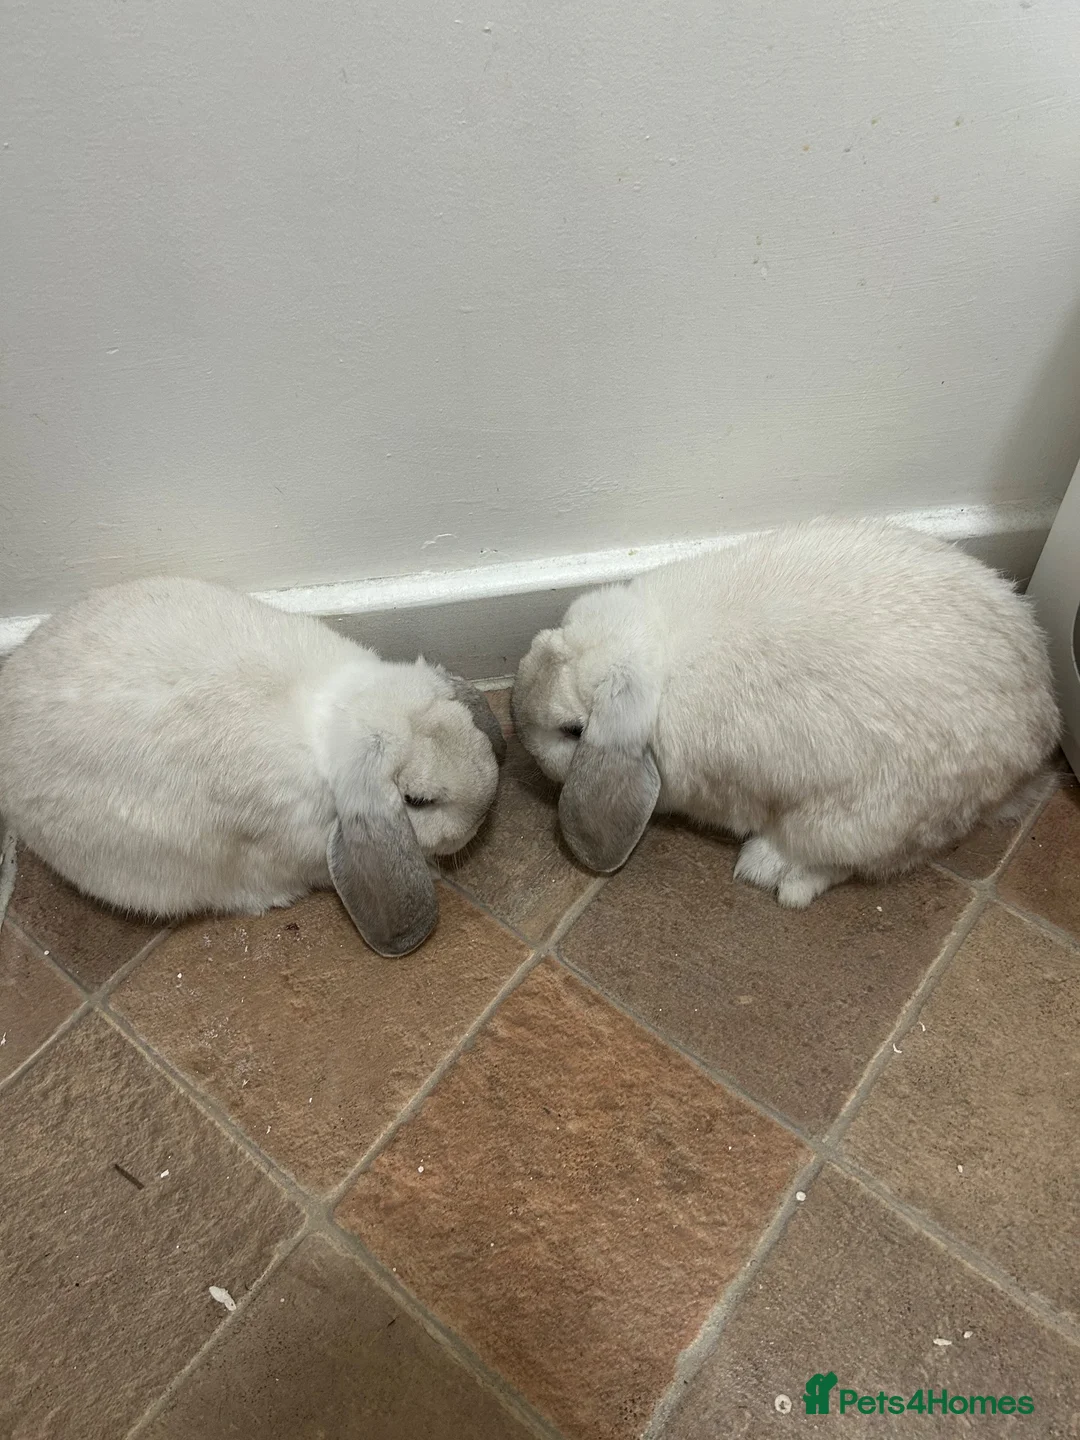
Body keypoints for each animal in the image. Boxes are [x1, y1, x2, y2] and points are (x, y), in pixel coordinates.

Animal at [512, 518, 1060, 908]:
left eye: (573, 730)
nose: (516, 718)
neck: (661, 654)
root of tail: (1039, 731)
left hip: (857, 820)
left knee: (855, 861)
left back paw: (770, 870)